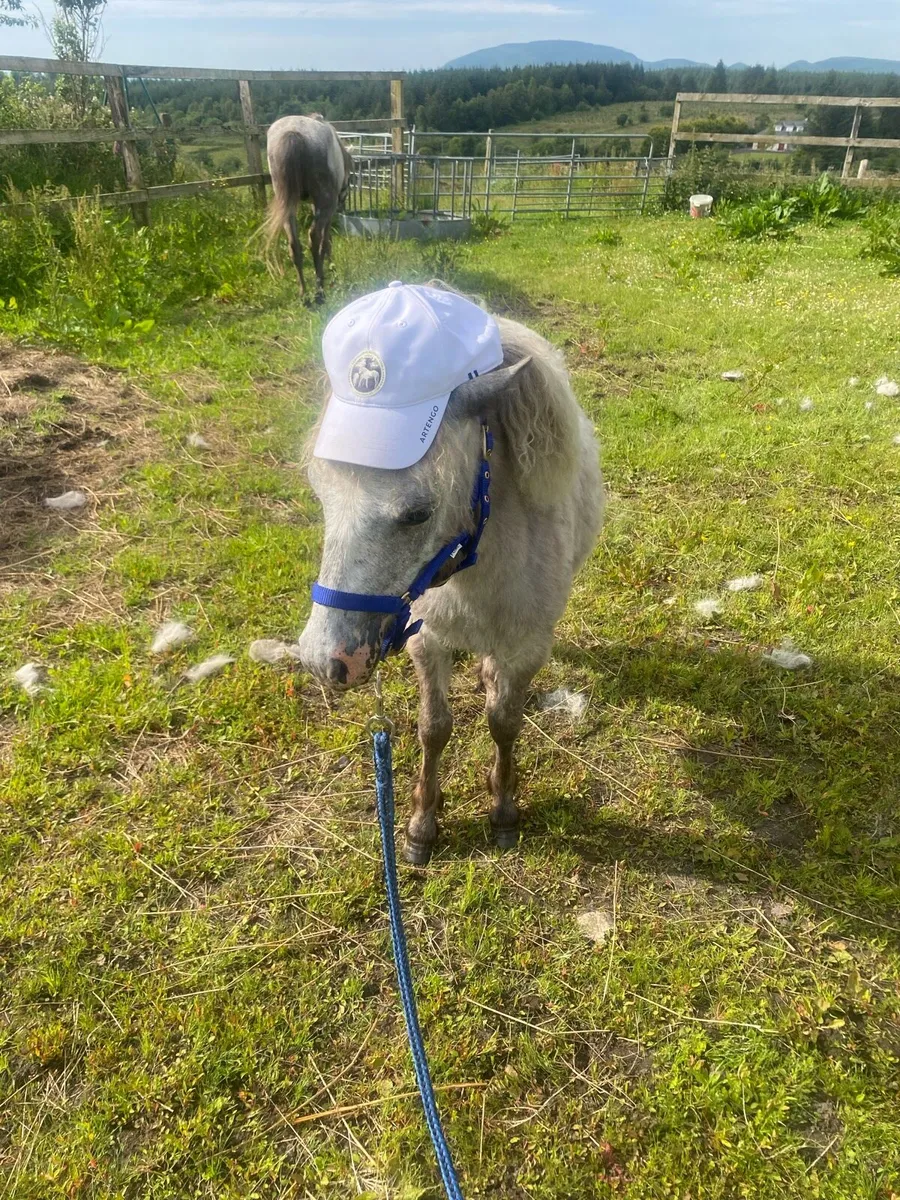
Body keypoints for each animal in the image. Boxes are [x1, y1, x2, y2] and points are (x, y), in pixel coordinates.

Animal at [264, 114, 353, 303]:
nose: (343, 201)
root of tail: (293, 133)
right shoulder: (327, 210)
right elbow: (326, 241)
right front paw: (332, 269)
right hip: (326, 204)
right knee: (314, 238)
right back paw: (319, 291)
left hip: (288, 205)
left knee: (294, 244)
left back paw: (304, 294)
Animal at [298, 294, 604, 863]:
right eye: (320, 491)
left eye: (418, 513)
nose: (326, 659)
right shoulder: (427, 639)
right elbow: (433, 728)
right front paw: (422, 824)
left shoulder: (527, 647)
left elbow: (504, 722)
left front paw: (503, 810)